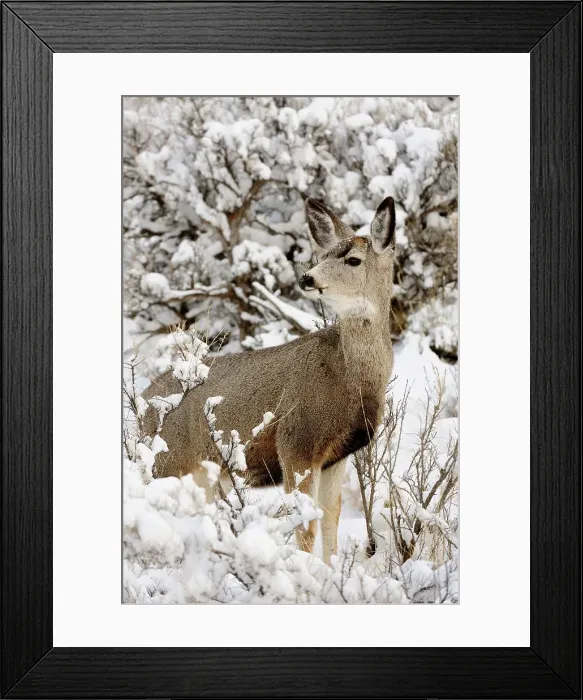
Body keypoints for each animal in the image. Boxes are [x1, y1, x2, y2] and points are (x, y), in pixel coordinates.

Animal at [142, 196, 396, 563]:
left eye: (353, 259)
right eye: (323, 256)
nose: (307, 278)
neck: (351, 378)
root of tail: (140, 403)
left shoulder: (337, 455)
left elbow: (330, 518)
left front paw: (331, 570)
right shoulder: (295, 441)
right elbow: (305, 525)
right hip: (165, 459)